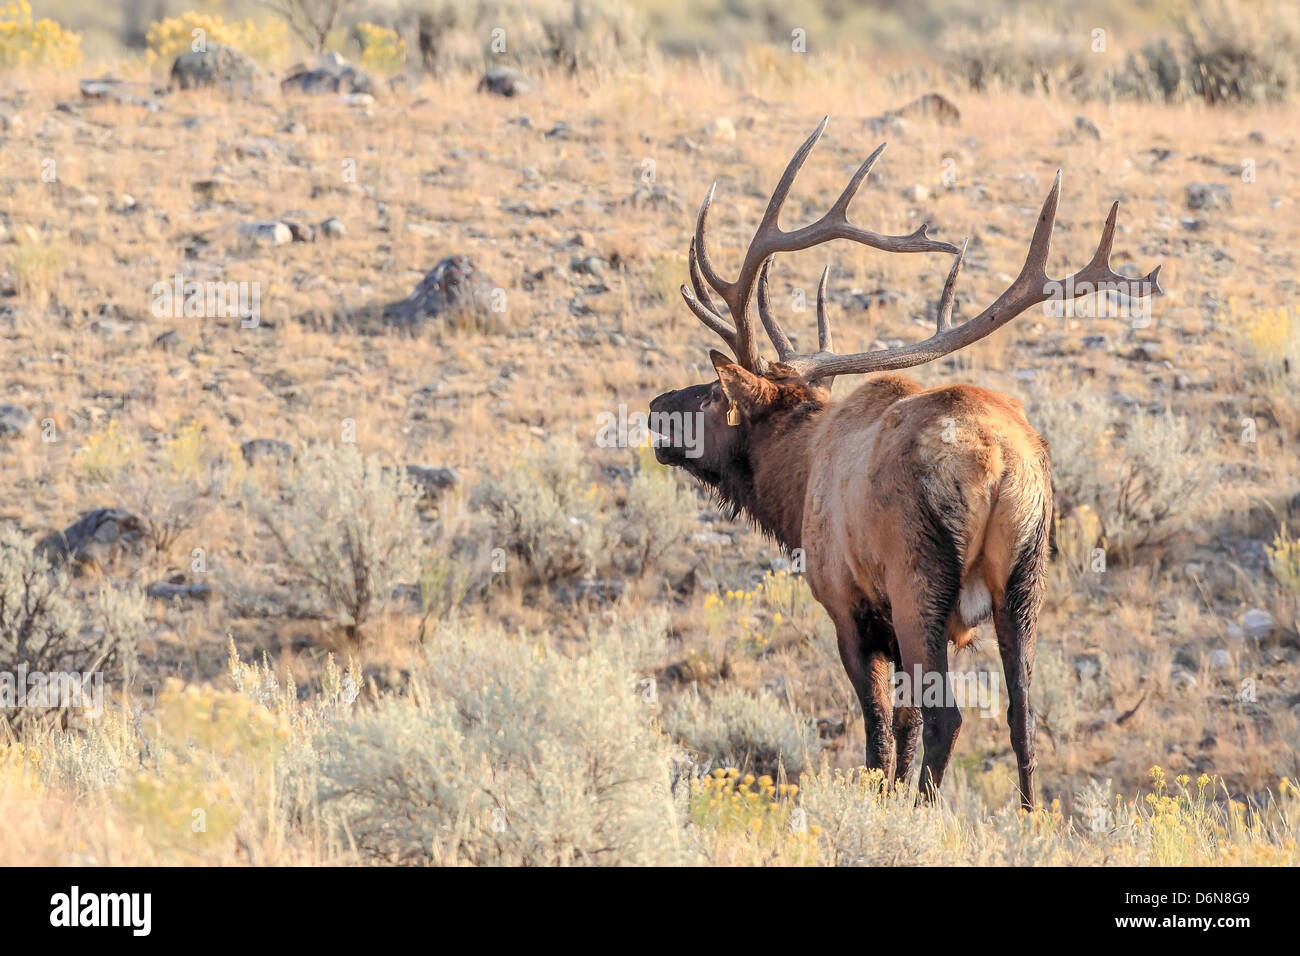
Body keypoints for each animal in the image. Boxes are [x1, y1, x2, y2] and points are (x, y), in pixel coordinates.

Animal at [649, 118, 1161, 809]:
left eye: (710, 395)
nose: (655, 410)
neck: (795, 483)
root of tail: (1001, 466)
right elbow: (907, 722)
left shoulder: (849, 607)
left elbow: (881, 732)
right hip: (1027, 578)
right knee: (1023, 713)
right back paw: (1032, 819)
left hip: (919, 578)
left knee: (952, 717)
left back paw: (923, 815)